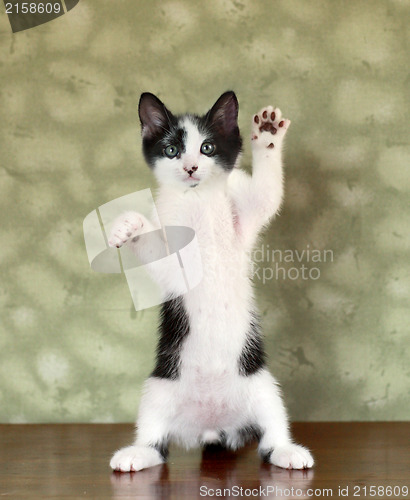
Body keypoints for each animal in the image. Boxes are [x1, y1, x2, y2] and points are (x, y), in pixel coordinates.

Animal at [107, 92, 312, 470]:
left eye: (207, 147)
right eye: (172, 149)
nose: (190, 168)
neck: (196, 201)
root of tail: (212, 425)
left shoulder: (243, 220)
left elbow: (266, 194)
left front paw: (267, 133)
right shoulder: (172, 265)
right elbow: (160, 257)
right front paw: (126, 226)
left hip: (261, 384)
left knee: (270, 432)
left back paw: (287, 451)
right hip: (160, 387)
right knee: (157, 442)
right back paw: (137, 453)